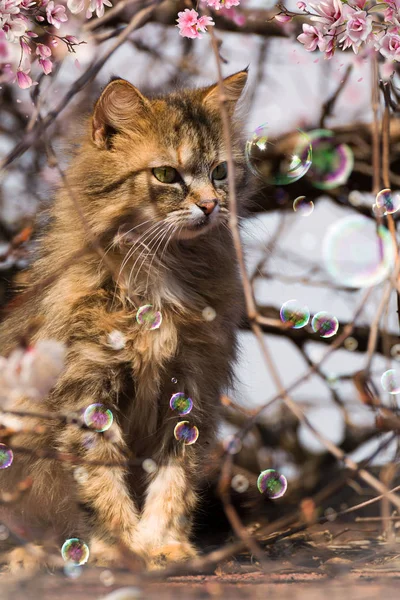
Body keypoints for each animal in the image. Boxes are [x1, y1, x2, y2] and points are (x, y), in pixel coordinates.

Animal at [0, 70, 248, 572]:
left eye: (220, 172)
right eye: (167, 175)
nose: (211, 205)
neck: (161, 271)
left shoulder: (192, 388)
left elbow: (175, 482)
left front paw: (164, 545)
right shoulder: (85, 390)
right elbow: (101, 483)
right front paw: (123, 548)